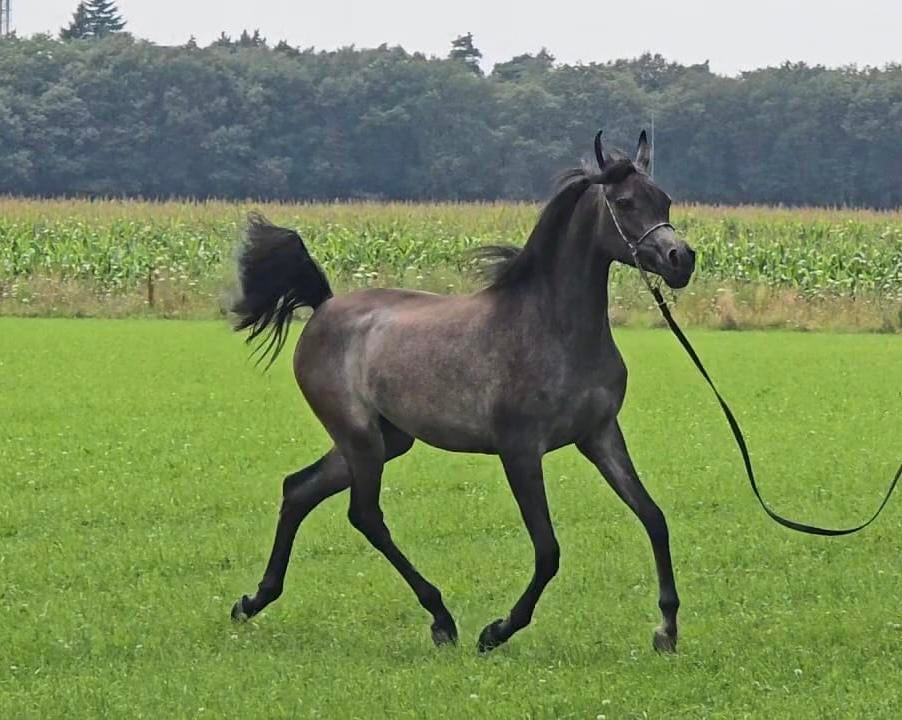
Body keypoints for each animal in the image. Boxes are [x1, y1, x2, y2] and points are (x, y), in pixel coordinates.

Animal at [229, 131, 696, 653]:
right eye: (625, 202)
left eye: (664, 200)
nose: (681, 260)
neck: (554, 328)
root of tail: (324, 305)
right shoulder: (519, 450)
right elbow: (548, 550)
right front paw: (496, 631)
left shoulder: (600, 435)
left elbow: (653, 517)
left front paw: (666, 629)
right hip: (360, 438)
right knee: (365, 514)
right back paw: (441, 618)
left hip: (387, 439)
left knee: (299, 489)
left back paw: (253, 601)